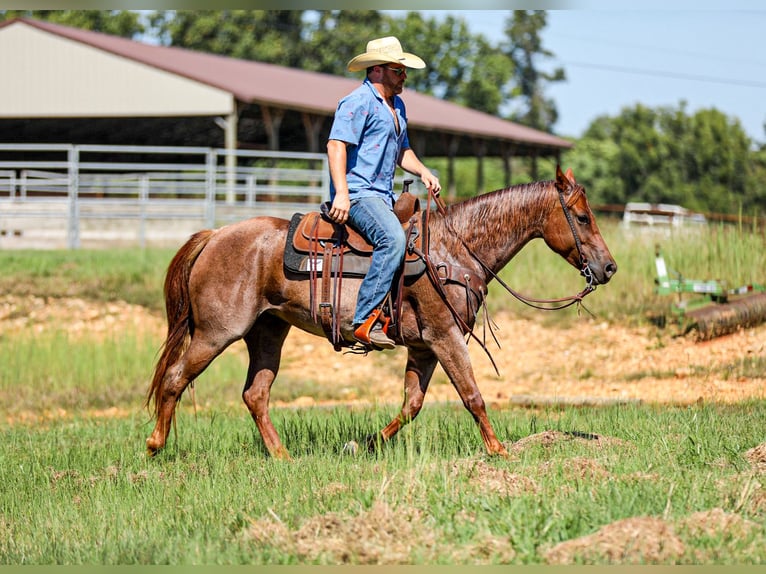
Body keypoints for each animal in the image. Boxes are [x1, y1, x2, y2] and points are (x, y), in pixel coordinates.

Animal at [145, 165, 617, 459]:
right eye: (581, 217)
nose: (608, 267)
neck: (453, 250)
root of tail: (215, 234)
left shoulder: (424, 347)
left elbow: (412, 404)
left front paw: (365, 445)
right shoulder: (445, 337)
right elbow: (473, 396)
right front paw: (499, 451)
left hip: (268, 332)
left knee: (255, 394)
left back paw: (282, 457)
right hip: (215, 333)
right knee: (175, 378)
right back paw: (154, 445)